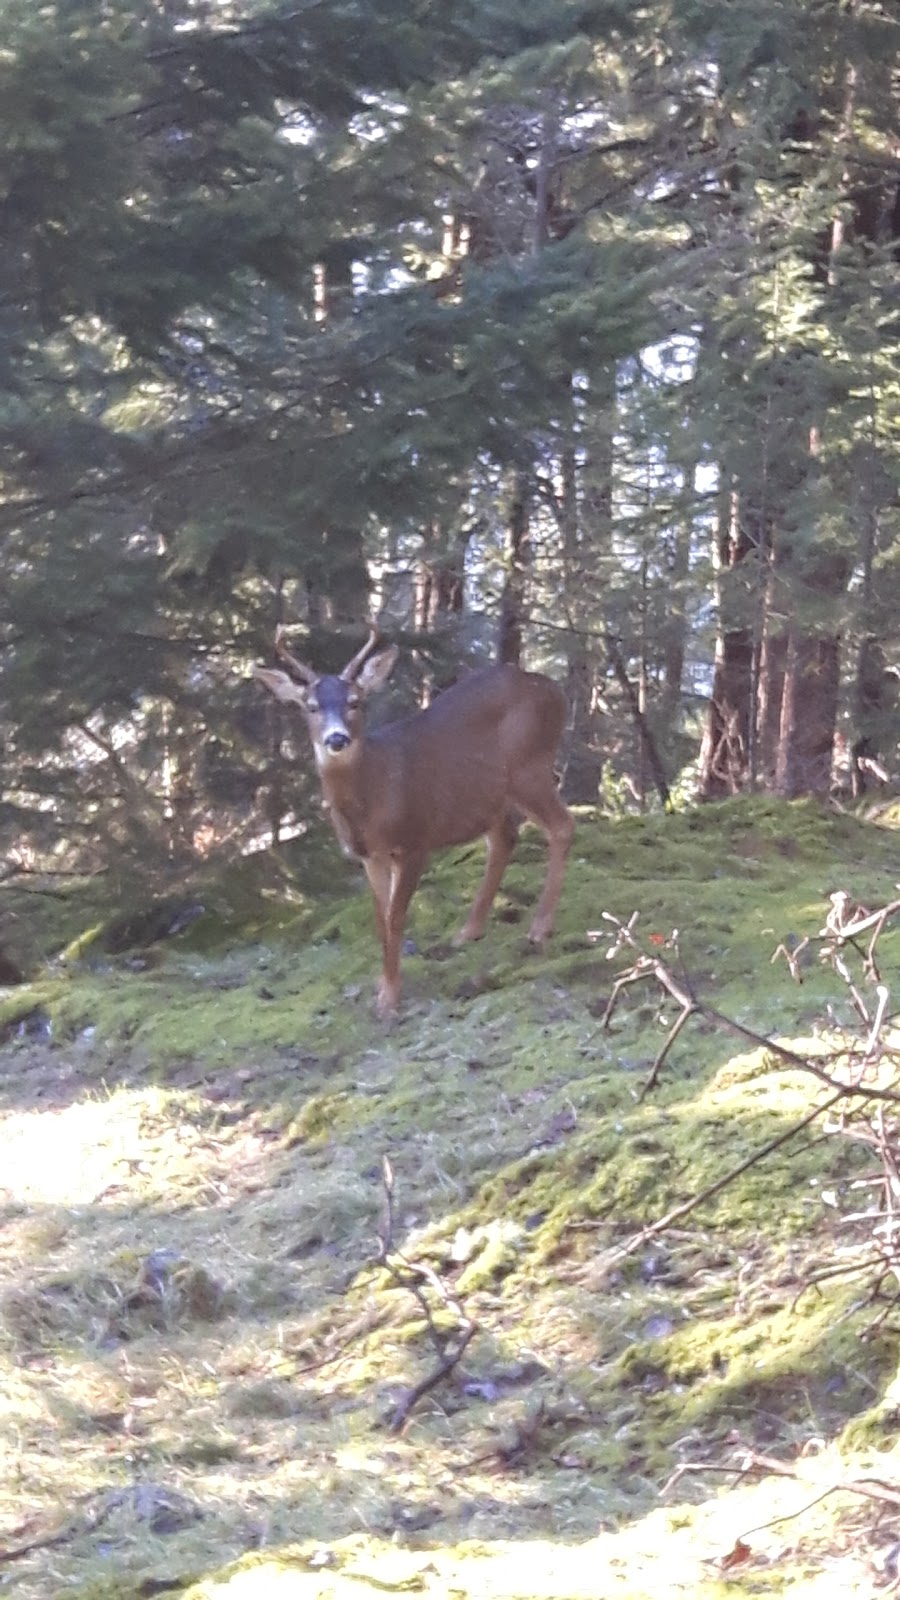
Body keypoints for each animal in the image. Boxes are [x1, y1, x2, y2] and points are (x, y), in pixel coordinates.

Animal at [256, 630, 570, 1017]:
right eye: (310, 706)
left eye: (356, 702)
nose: (337, 739)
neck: (374, 798)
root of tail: (556, 691)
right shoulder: (370, 856)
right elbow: (380, 920)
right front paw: (382, 986)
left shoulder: (415, 840)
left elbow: (395, 917)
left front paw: (390, 998)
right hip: (487, 795)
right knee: (505, 838)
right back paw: (468, 932)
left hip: (529, 767)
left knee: (561, 826)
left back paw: (539, 929)